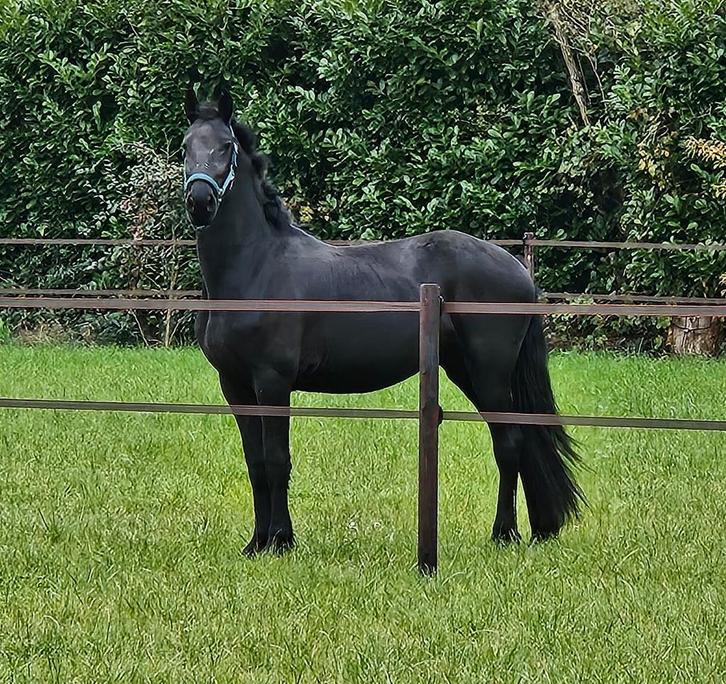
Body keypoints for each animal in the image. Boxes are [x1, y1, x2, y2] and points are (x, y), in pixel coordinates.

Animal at [182, 88, 583, 555]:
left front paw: (281, 541)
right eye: (185, 147)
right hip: (463, 369)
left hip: (490, 373)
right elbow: (256, 463)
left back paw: (504, 533)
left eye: (226, 147)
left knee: (509, 443)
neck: (255, 267)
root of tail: (518, 268)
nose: (200, 203)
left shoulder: (272, 381)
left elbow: (277, 460)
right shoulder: (236, 386)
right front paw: (257, 543)